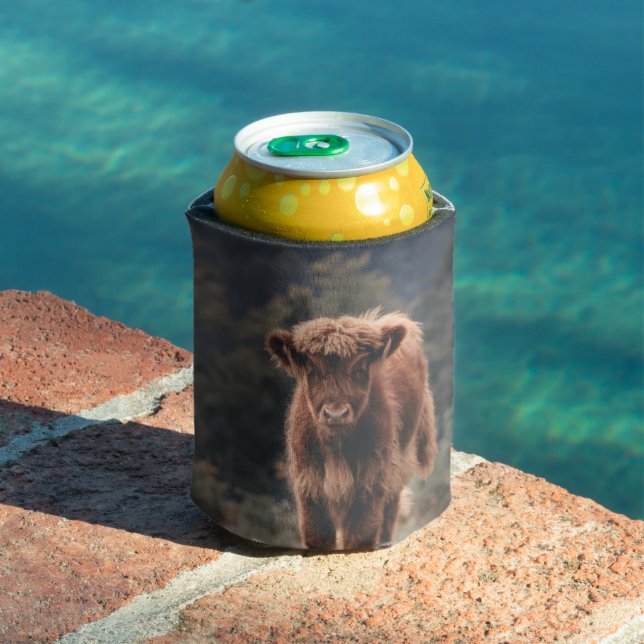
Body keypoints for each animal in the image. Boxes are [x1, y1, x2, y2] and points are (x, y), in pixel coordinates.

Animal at [266, 309, 436, 550]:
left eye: (361, 366)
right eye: (311, 367)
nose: (336, 413)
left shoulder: (371, 485)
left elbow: (360, 535)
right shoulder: (309, 488)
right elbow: (318, 537)